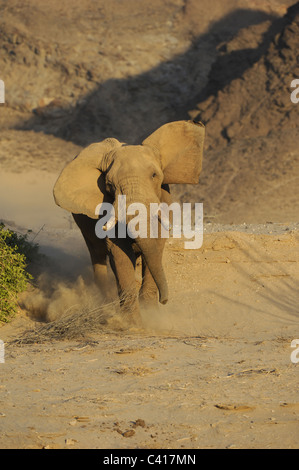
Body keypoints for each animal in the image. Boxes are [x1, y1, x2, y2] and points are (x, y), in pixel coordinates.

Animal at [52, 120, 205, 326]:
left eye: (154, 175)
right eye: (109, 184)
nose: (164, 300)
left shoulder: (164, 197)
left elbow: (156, 246)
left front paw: (151, 314)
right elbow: (119, 253)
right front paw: (134, 324)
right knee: (97, 253)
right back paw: (104, 304)